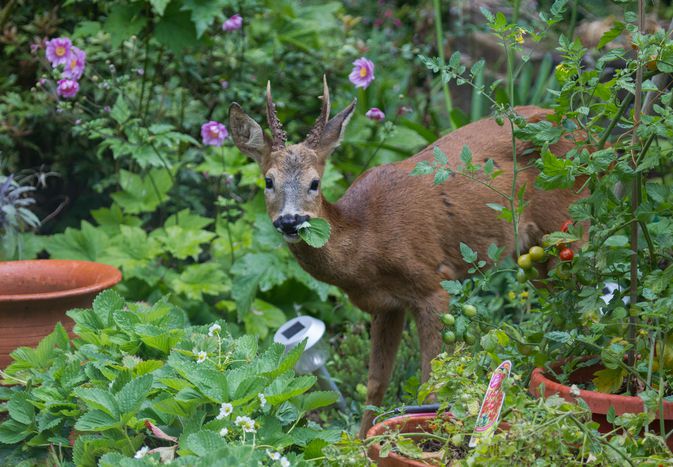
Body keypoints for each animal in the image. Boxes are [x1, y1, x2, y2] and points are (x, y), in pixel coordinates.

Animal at [228, 77, 584, 438]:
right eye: (268, 180)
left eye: (314, 182)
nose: (290, 221)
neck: (367, 242)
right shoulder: (385, 305)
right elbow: (376, 382)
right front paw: (361, 442)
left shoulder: (433, 285)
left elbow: (431, 381)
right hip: (533, 252)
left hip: (567, 225)